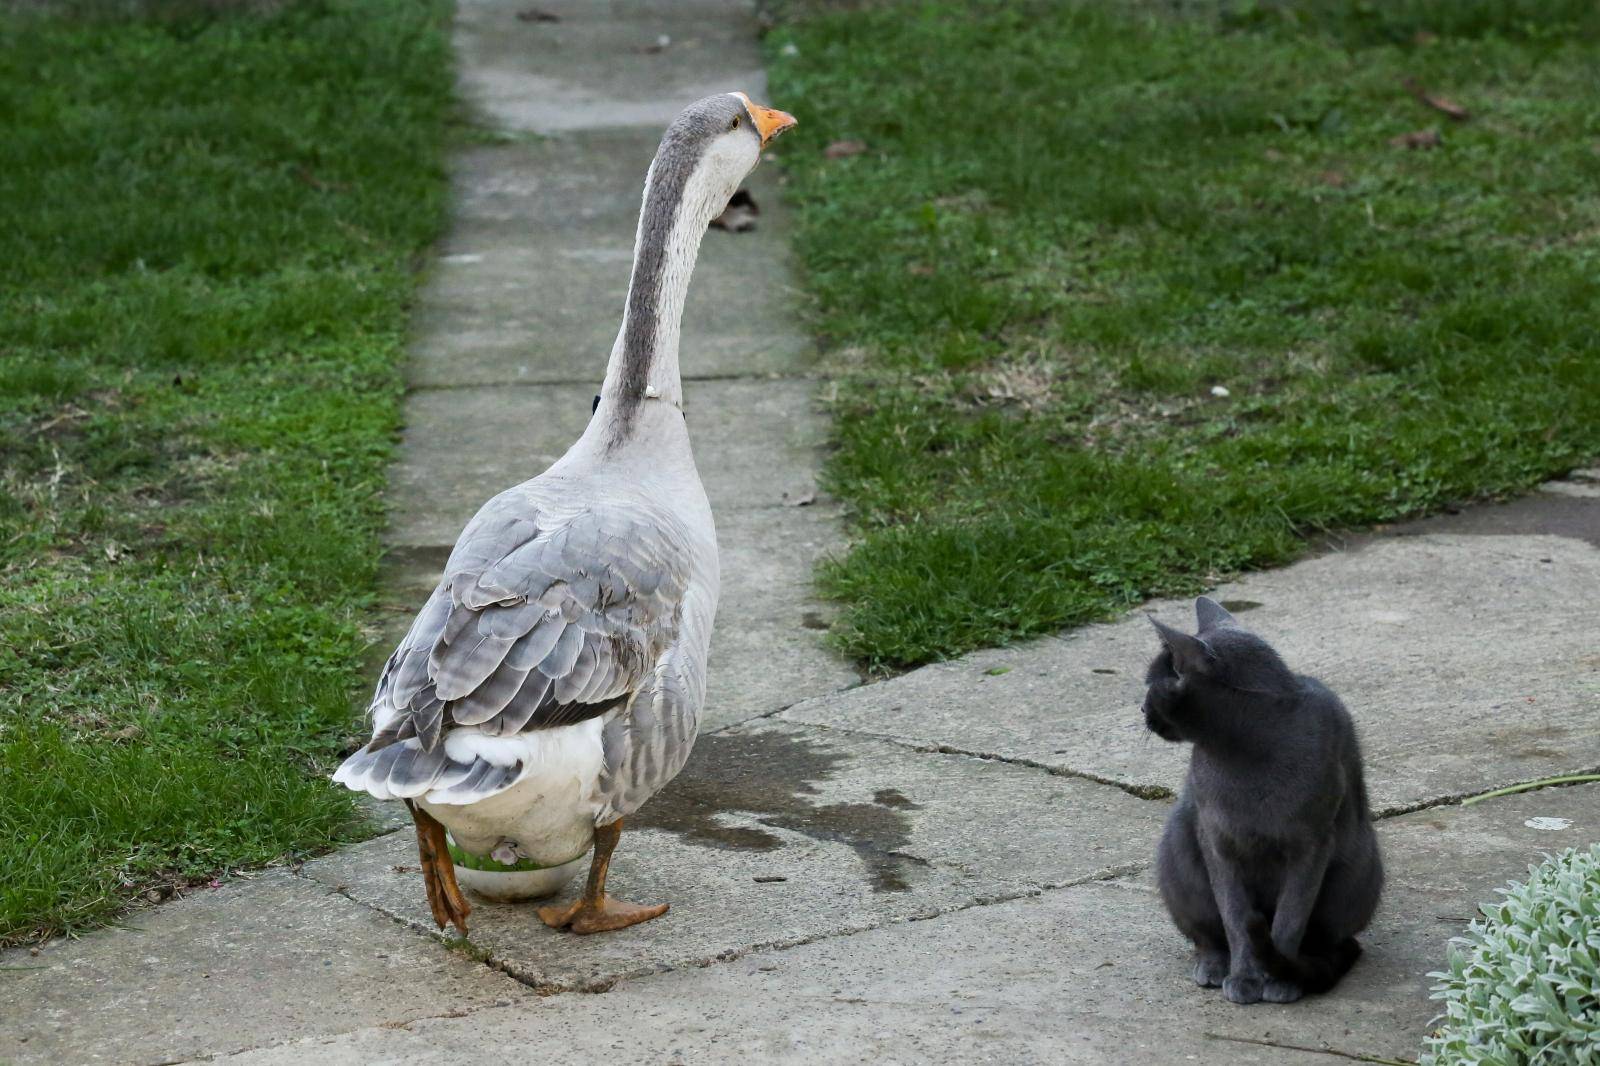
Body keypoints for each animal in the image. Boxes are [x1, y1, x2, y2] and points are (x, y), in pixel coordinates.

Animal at [1145, 592, 1382, 998]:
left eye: (1150, 685)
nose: (1141, 709)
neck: (1244, 748)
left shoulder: (1312, 844)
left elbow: (1289, 918)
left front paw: (1278, 979)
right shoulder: (1217, 841)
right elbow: (1236, 918)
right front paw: (1244, 977)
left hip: (1357, 865)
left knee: (1337, 942)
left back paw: (1306, 968)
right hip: (1178, 846)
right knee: (1207, 936)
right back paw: (1214, 966)